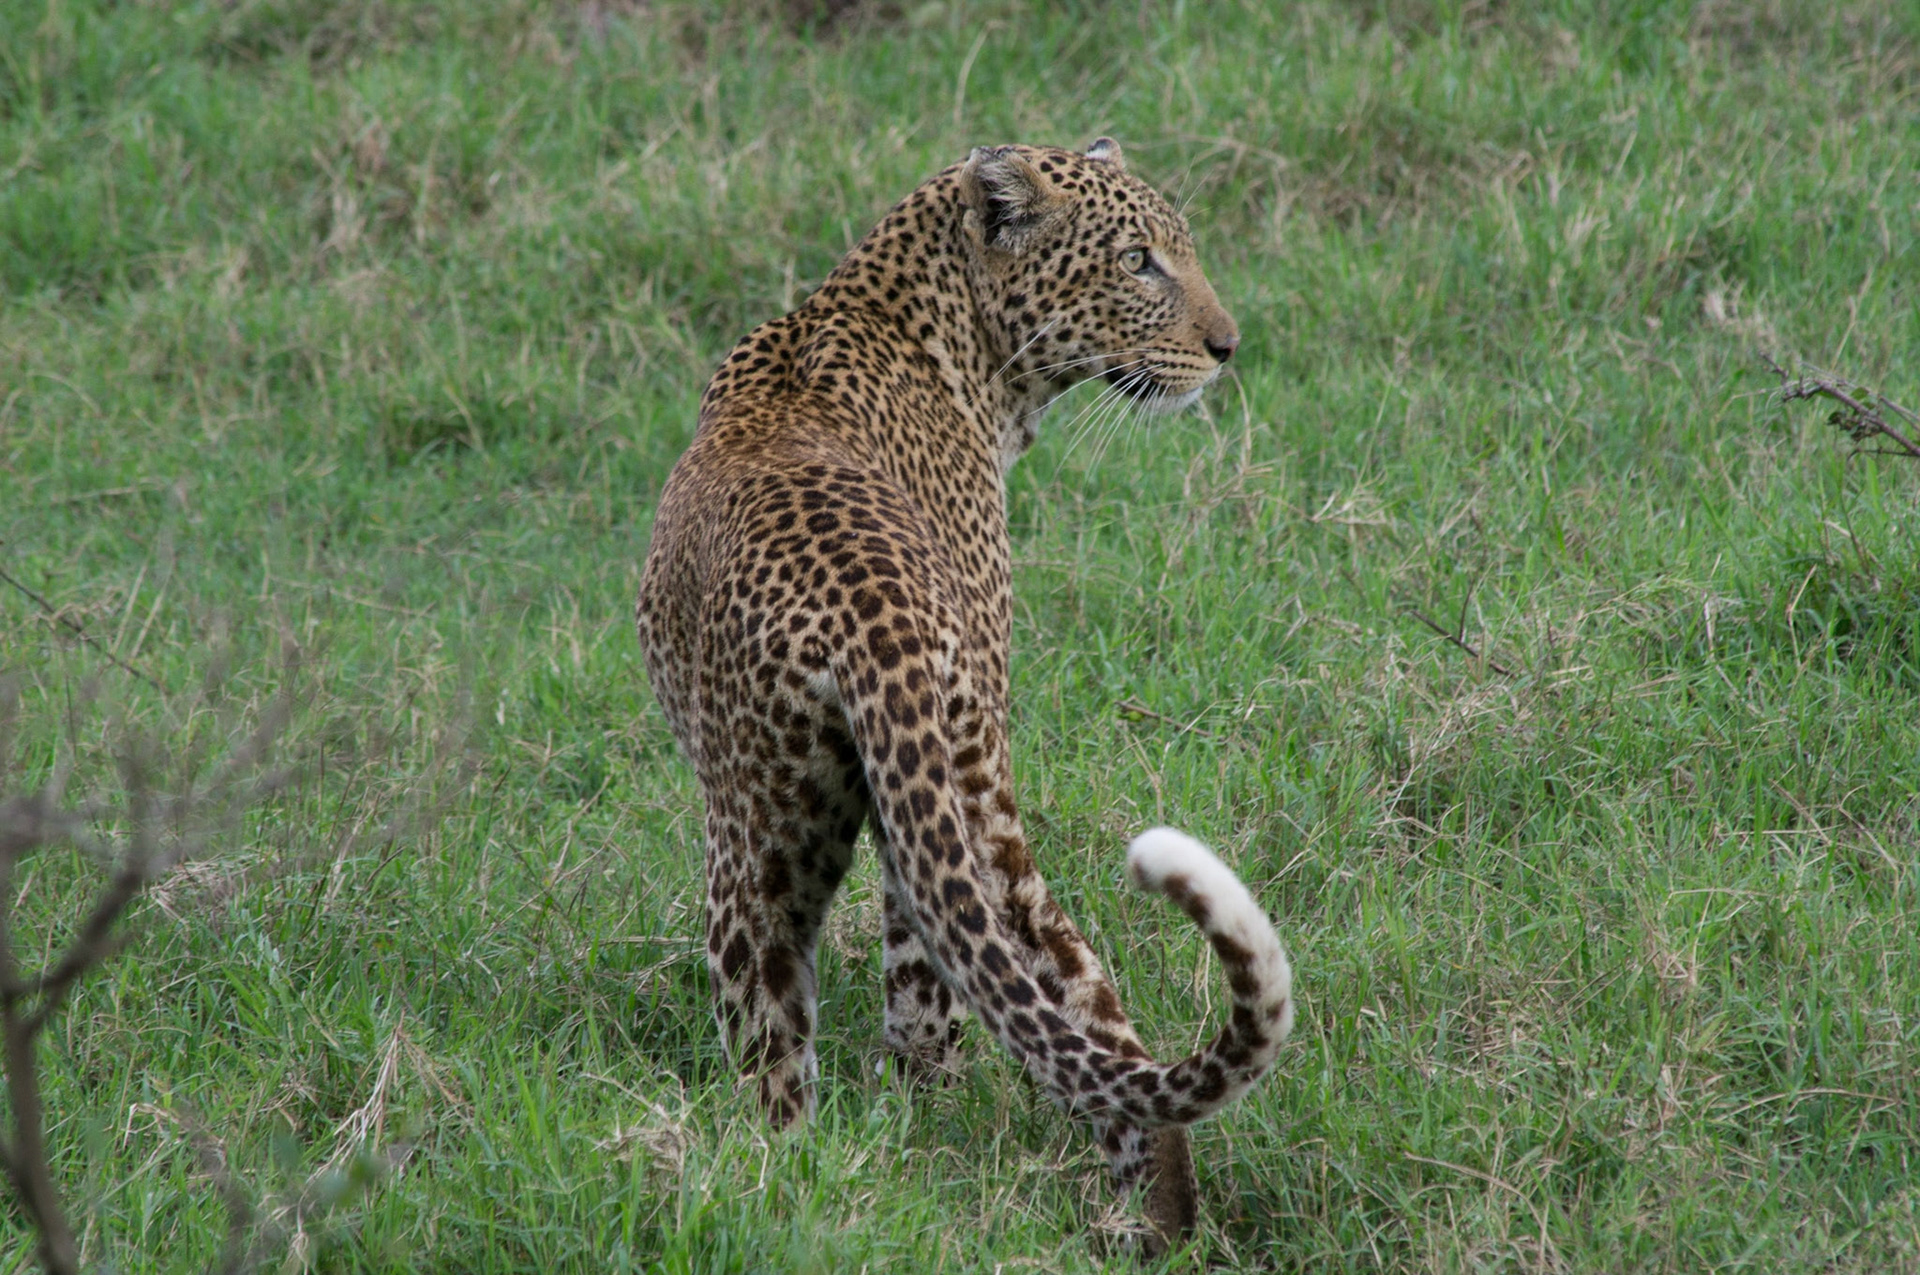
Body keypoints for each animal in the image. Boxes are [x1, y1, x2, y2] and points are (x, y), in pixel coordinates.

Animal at [635, 138, 1295, 1250]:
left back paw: (797, 1178)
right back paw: (1144, 1217)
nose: (1227, 346)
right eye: (1140, 262)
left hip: (767, 831)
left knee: (814, 1036)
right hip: (962, 797)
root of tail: (872, 612)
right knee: (1065, 1001)